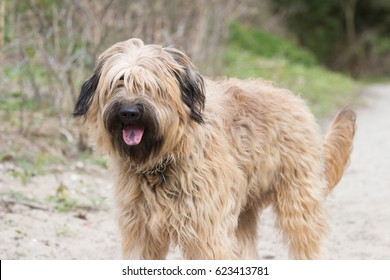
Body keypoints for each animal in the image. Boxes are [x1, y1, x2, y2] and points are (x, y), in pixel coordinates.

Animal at [74, 38, 356, 260]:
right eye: (118, 82)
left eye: (153, 87)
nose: (129, 112)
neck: (162, 160)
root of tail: (294, 99)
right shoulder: (140, 231)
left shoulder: (207, 232)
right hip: (244, 210)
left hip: (298, 200)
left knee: (307, 240)